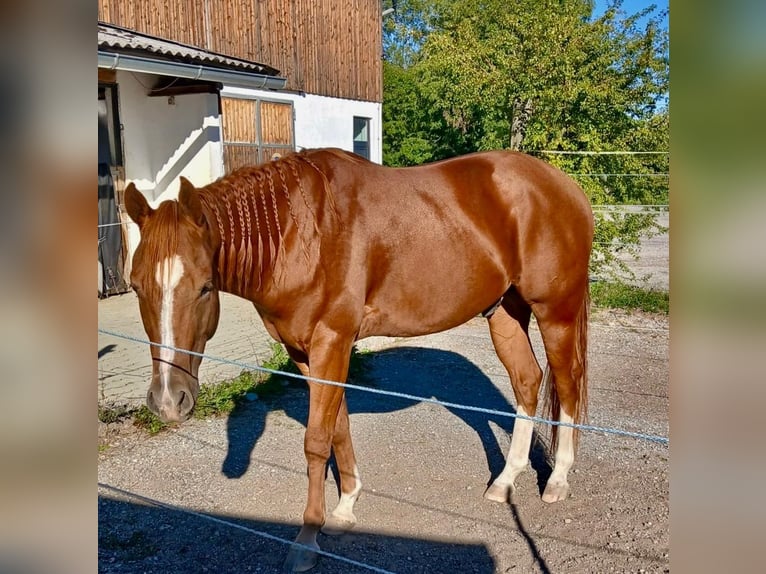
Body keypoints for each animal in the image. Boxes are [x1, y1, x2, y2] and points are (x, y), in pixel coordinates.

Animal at [124, 148, 594, 572]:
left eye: (204, 287)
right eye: (136, 286)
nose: (168, 401)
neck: (298, 232)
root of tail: (566, 187)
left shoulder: (331, 342)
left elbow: (315, 441)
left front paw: (307, 539)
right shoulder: (305, 353)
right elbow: (337, 428)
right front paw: (345, 507)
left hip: (556, 312)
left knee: (567, 383)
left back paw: (557, 480)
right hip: (505, 312)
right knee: (527, 381)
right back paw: (505, 482)